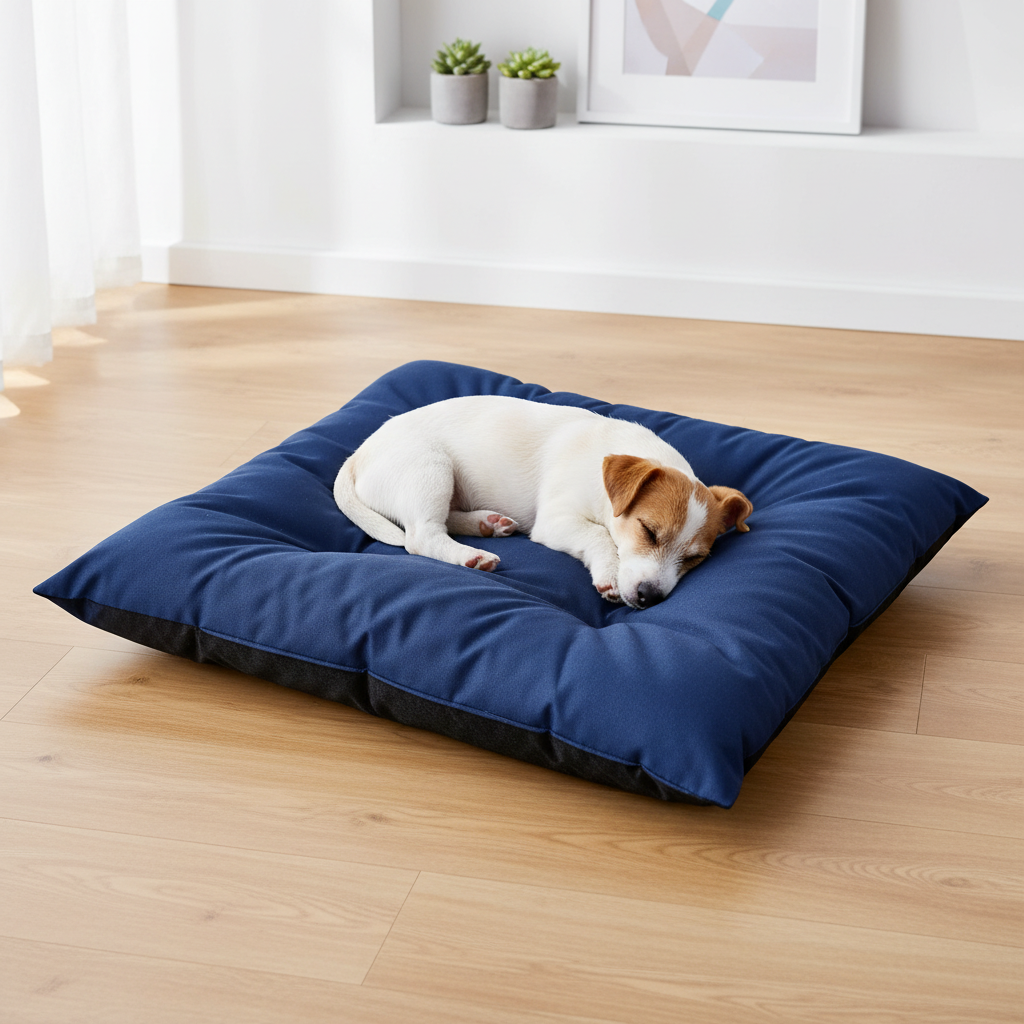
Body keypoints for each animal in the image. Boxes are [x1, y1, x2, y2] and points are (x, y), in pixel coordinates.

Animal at [334, 395, 752, 609]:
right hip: (430, 468)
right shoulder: (556, 521)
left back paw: (487, 523)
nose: (650, 597)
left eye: (695, 558)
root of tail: (358, 454)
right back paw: (471, 555)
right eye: (648, 531)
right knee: (420, 536)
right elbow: (600, 536)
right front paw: (609, 573)